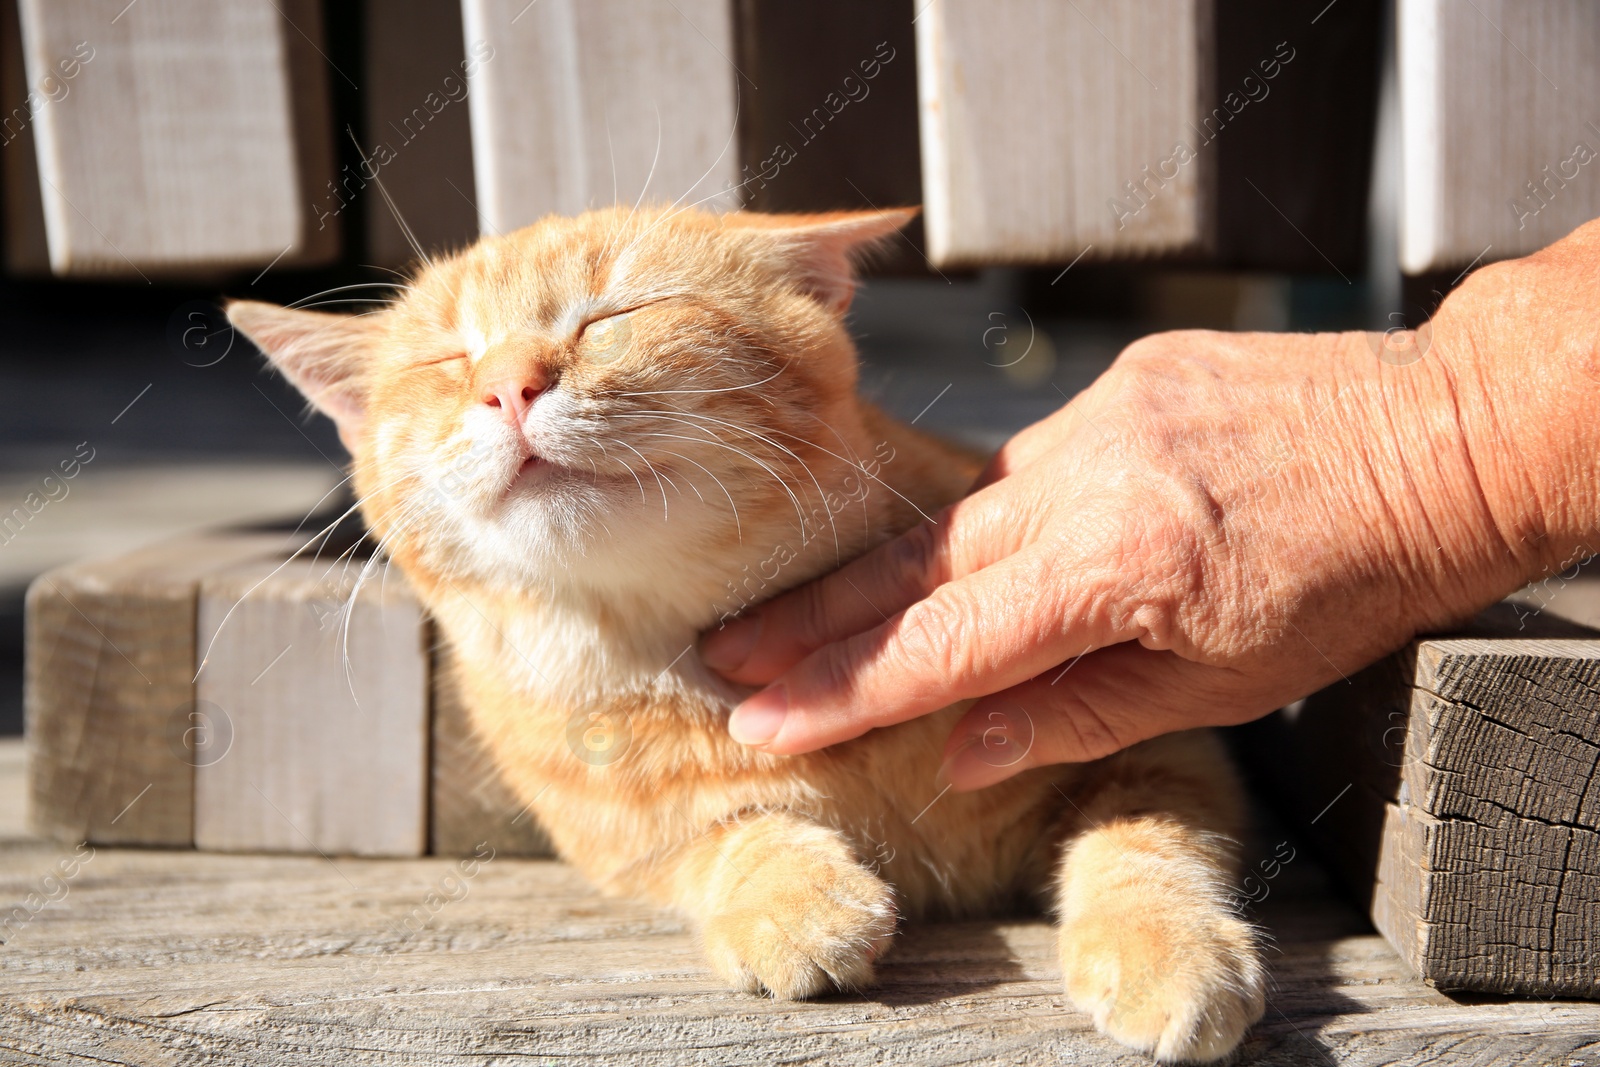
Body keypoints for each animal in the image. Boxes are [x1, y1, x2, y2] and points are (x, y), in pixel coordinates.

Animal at [228, 206, 1260, 1062]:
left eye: (612, 316)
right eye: (446, 362)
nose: (508, 387)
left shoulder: (1165, 750)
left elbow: (1145, 844)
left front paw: (1168, 952)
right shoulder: (632, 847)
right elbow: (726, 831)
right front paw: (790, 894)